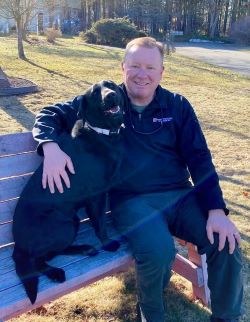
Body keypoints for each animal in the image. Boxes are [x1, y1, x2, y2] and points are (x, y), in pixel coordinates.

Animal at [12, 80, 124, 304]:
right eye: (95, 93)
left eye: (111, 85)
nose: (110, 96)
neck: (103, 134)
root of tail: (17, 247)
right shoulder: (95, 196)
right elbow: (100, 223)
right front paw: (107, 243)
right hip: (62, 226)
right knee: (38, 260)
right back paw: (56, 271)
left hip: (72, 220)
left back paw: (84, 249)